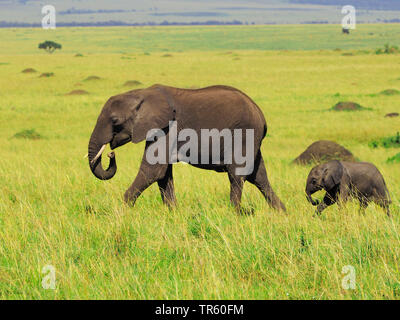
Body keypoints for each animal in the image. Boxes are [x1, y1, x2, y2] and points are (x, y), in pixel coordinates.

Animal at [89, 84, 286, 212]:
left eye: (115, 121)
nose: (110, 154)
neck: (140, 94)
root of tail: (260, 114)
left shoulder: (168, 127)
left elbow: (154, 170)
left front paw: (123, 210)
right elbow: (163, 174)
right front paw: (173, 213)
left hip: (244, 134)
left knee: (237, 175)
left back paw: (234, 213)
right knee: (259, 176)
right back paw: (281, 212)